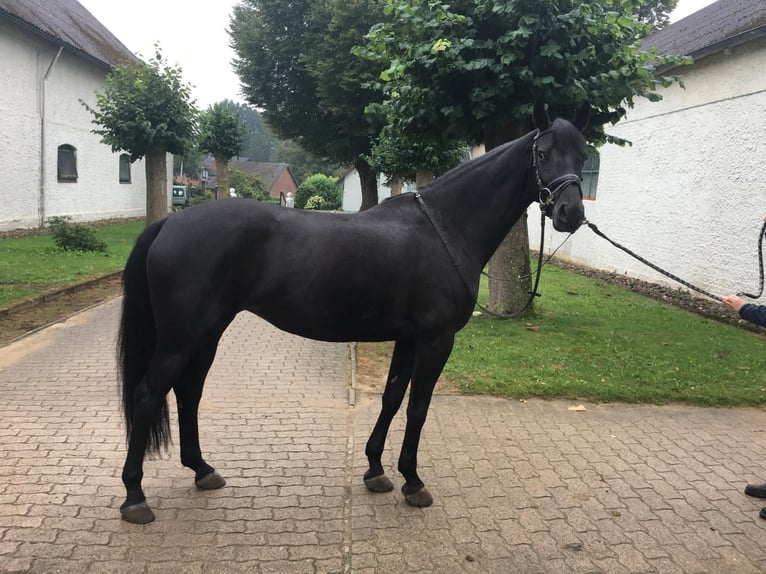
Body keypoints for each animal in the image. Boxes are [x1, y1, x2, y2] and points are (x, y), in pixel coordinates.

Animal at [117, 101, 590, 524]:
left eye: (584, 156)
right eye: (543, 153)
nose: (571, 213)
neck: (444, 227)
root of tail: (170, 222)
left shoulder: (409, 338)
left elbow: (392, 397)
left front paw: (376, 470)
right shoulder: (436, 340)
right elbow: (418, 406)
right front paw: (413, 482)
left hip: (207, 334)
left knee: (188, 392)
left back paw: (202, 470)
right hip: (181, 339)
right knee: (148, 395)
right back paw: (135, 496)